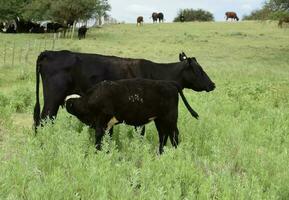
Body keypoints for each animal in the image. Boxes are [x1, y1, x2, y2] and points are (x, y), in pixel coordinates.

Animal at [65, 79, 199, 154]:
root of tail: (169, 82)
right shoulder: (108, 124)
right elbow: (108, 137)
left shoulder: (101, 120)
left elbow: (98, 137)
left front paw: (97, 152)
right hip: (160, 119)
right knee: (163, 135)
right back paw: (160, 152)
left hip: (170, 118)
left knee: (174, 134)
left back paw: (174, 152)